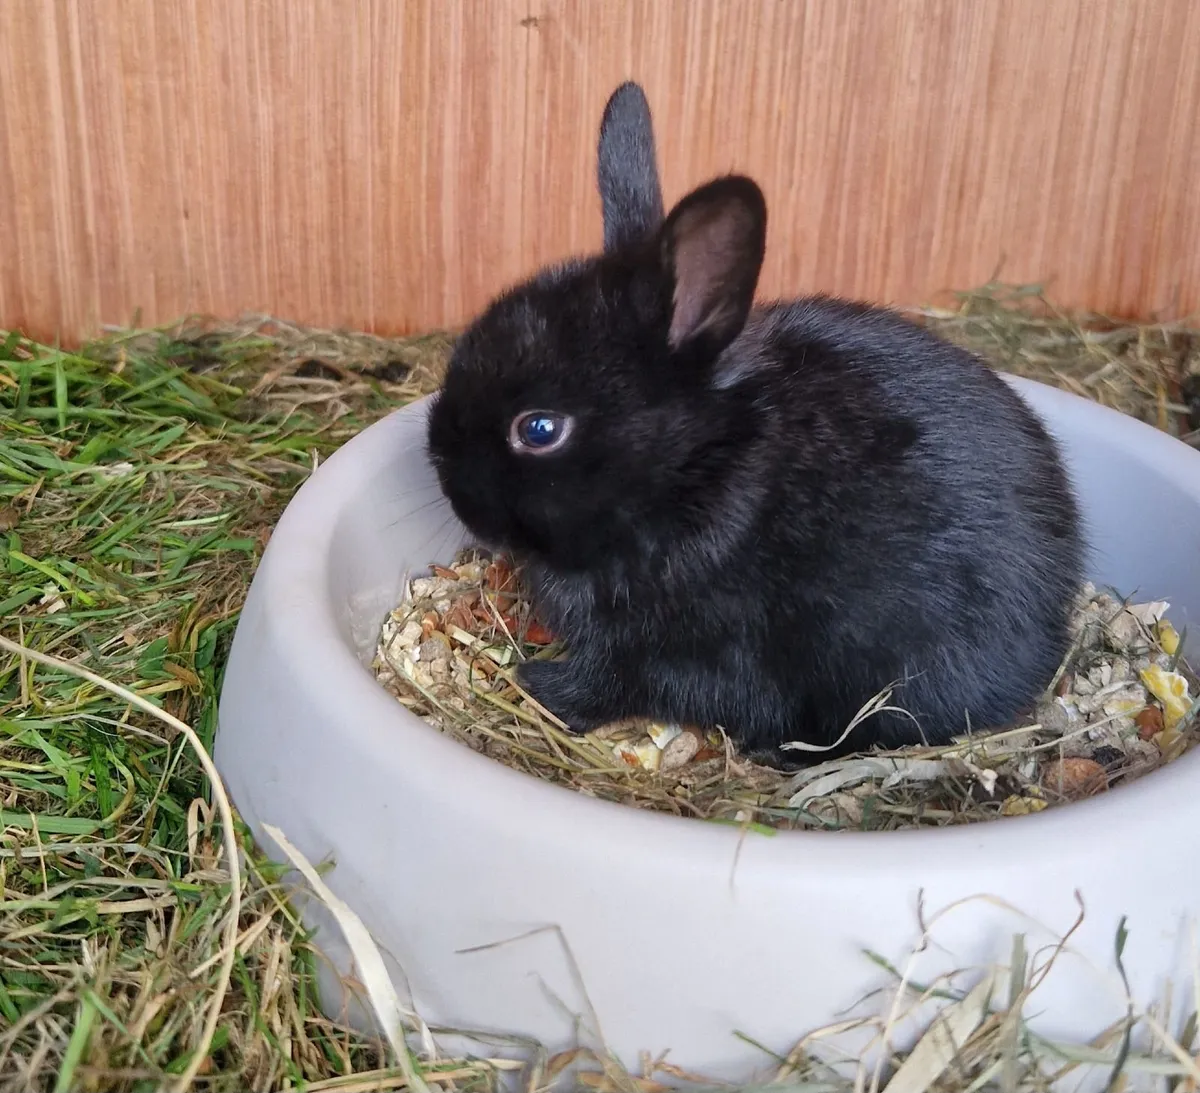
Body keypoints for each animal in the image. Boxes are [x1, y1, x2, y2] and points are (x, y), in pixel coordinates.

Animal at [425, 81, 1086, 769]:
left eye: (539, 430)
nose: (444, 477)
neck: (698, 471)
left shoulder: (701, 647)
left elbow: (624, 680)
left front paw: (540, 686)